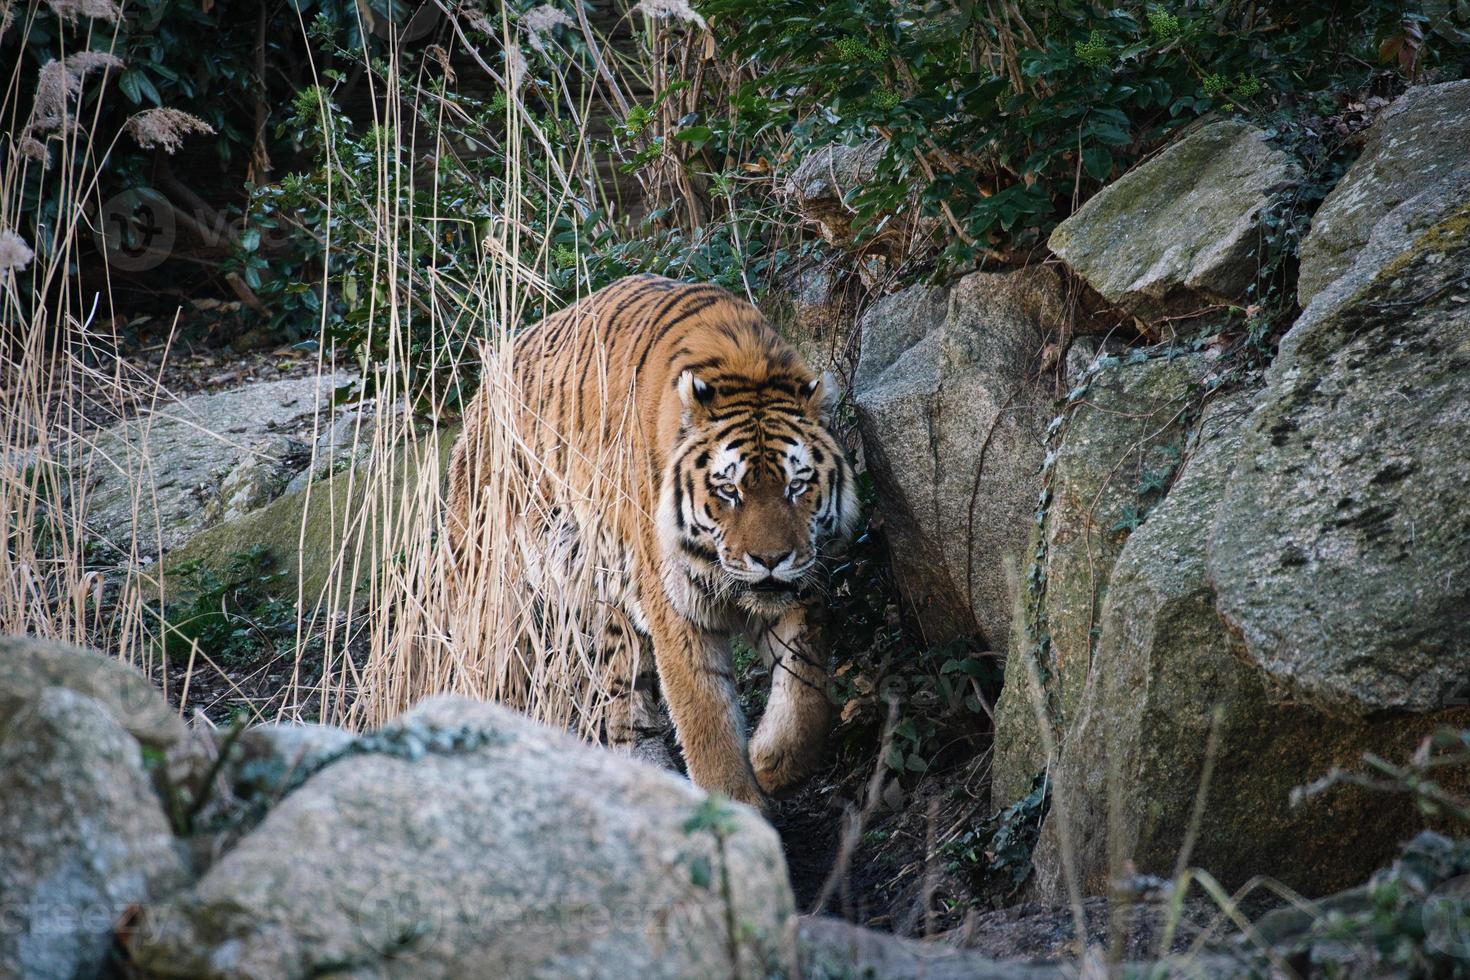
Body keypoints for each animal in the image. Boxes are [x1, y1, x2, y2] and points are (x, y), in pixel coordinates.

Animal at [446, 271, 858, 811]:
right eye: (729, 490)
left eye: (797, 485)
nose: (770, 559)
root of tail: (479, 397)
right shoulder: (677, 610)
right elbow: (706, 720)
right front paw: (736, 811)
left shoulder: (802, 585)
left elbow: (806, 688)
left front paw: (774, 761)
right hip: (498, 599)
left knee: (620, 694)